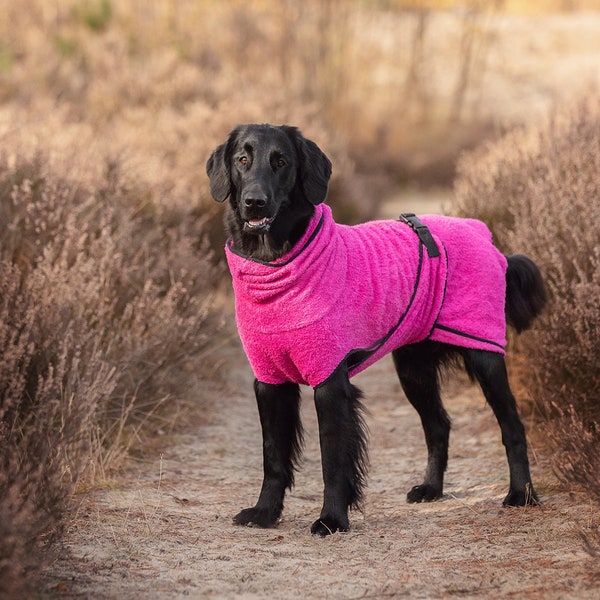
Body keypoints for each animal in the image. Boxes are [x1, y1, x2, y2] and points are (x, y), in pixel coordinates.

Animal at [207, 124, 548, 536]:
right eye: (243, 159)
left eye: (282, 162)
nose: (254, 202)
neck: (274, 264)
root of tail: (484, 235)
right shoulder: (269, 380)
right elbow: (273, 456)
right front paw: (265, 512)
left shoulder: (330, 381)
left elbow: (333, 460)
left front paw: (332, 519)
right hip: (413, 369)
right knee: (439, 425)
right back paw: (432, 489)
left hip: (484, 354)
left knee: (512, 427)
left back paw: (521, 494)